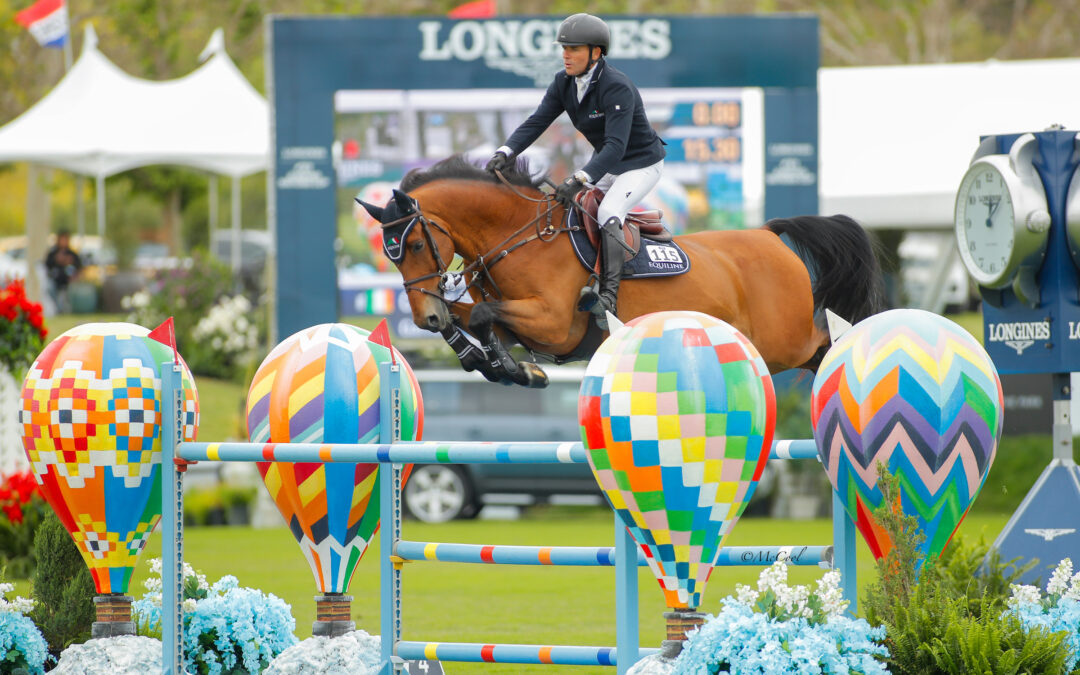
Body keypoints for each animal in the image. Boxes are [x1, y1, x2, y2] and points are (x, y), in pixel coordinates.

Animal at [358, 154, 881, 386]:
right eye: (391, 255)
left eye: (417, 243)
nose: (424, 316)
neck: (513, 235)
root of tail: (771, 235)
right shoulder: (515, 318)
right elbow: (470, 319)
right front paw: (494, 363)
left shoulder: (554, 324)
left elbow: (485, 317)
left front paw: (511, 367)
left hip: (785, 341)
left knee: (825, 341)